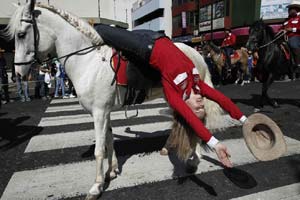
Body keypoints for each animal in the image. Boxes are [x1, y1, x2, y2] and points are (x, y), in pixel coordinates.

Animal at [4, 1, 230, 198]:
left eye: (21, 34)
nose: (18, 73)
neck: (89, 61)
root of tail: (197, 54)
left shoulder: (99, 113)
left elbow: (99, 150)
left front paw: (96, 186)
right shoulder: (104, 112)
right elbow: (109, 140)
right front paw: (111, 171)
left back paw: (194, 159)